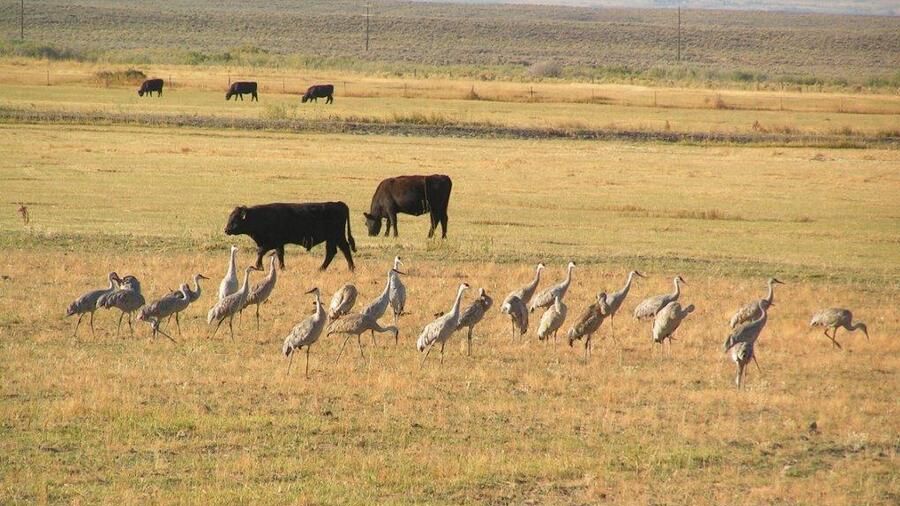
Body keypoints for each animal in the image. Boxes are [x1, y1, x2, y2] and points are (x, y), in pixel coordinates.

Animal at [224, 202, 356, 271]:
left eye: (235, 218)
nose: (226, 230)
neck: (260, 217)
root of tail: (338, 204)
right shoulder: (278, 243)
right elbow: (279, 254)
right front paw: (281, 267)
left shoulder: (273, 242)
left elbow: (262, 251)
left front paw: (259, 266)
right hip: (333, 238)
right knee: (334, 251)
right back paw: (325, 268)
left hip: (336, 236)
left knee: (342, 250)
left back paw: (349, 268)